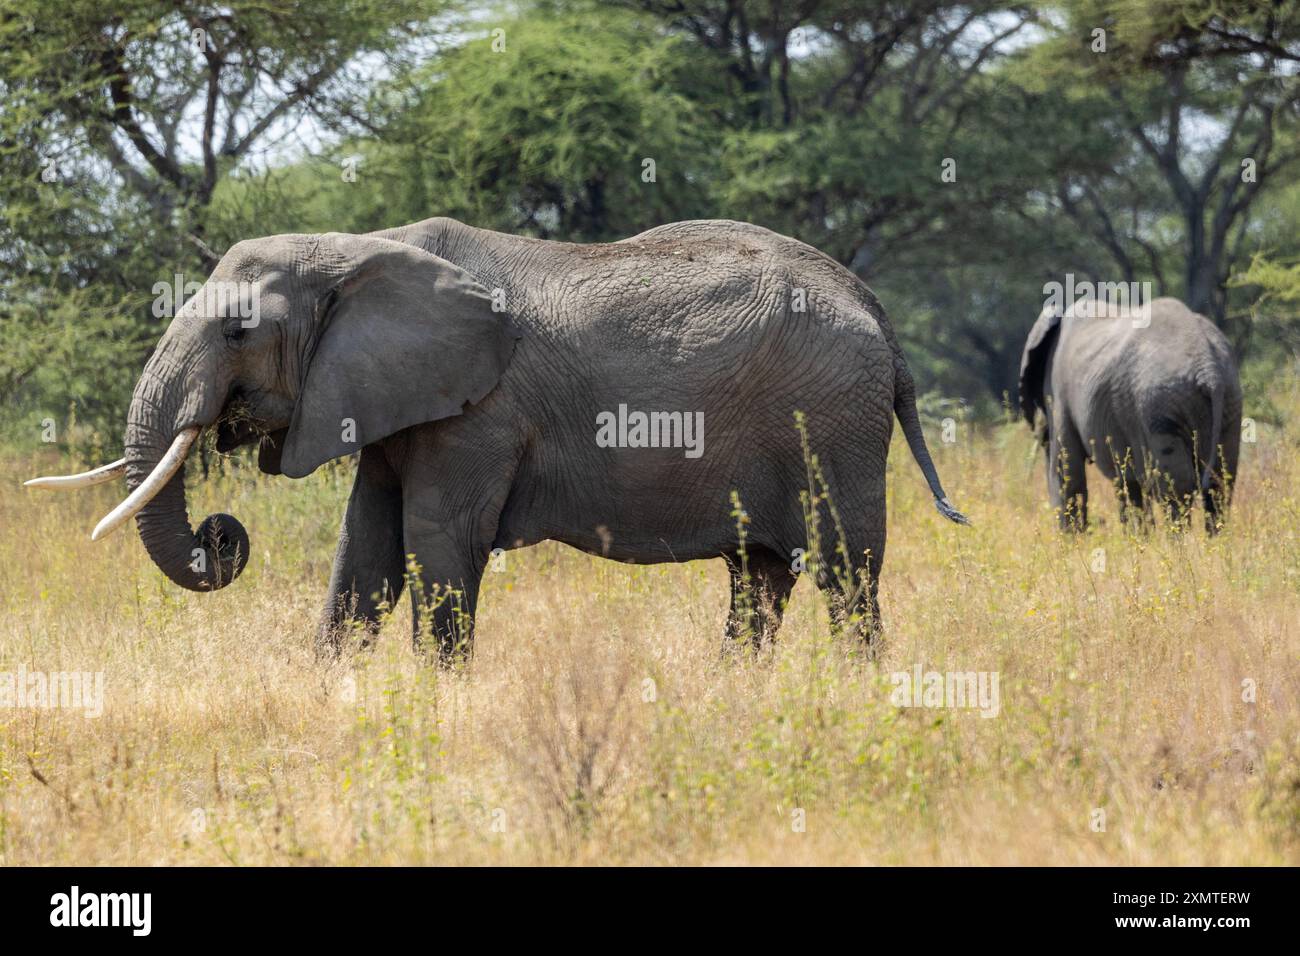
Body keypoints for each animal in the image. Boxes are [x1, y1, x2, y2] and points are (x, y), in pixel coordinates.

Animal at [27, 221, 967, 660]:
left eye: (236, 333)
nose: (221, 532)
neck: (357, 246)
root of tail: (875, 310)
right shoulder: (394, 396)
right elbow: (364, 555)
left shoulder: (480, 413)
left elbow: (438, 543)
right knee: (759, 578)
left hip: (833, 424)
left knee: (846, 573)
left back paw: (854, 698)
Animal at [1013, 295, 1237, 530]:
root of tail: (1208, 367)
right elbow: (1126, 484)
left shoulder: (1059, 395)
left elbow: (1067, 475)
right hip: (1227, 402)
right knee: (1220, 483)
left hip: (1159, 402)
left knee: (1175, 487)